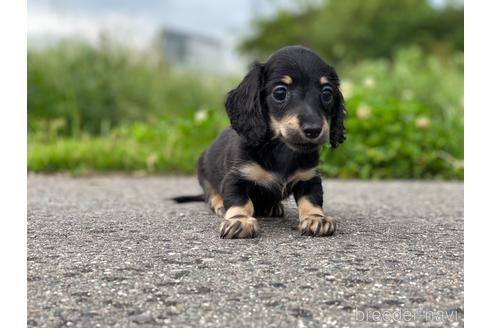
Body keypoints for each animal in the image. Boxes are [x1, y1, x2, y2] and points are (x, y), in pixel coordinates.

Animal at [173, 45, 346, 238]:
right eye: (280, 92)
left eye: (327, 93)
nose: (314, 129)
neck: (281, 150)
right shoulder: (236, 177)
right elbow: (239, 200)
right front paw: (239, 221)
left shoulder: (309, 178)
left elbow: (312, 200)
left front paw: (316, 218)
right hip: (203, 171)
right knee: (211, 193)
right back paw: (219, 204)